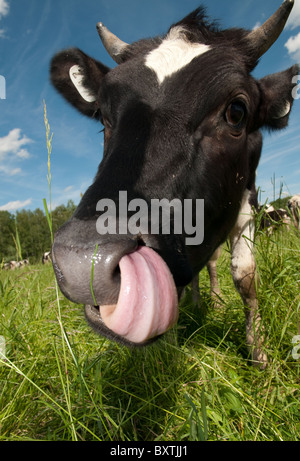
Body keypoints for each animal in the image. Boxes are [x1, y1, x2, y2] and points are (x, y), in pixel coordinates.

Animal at [49, 0, 298, 366]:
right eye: (104, 118)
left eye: (237, 111)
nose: (84, 263)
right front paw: (170, 350)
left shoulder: (247, 197)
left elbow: (245, 274)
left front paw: (259, 354)